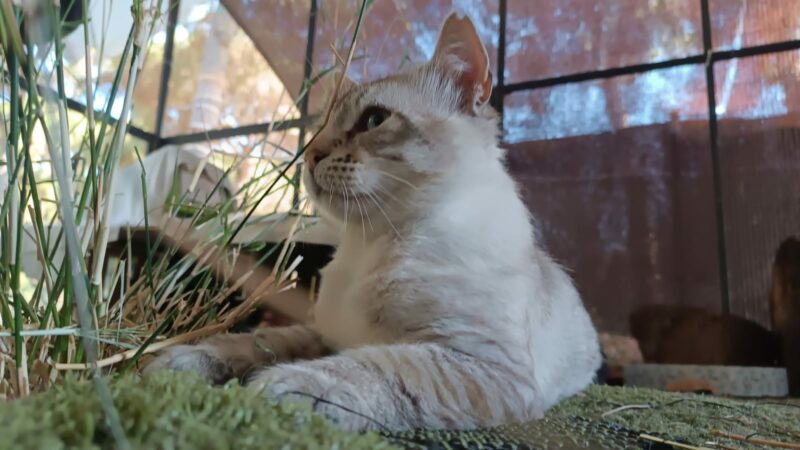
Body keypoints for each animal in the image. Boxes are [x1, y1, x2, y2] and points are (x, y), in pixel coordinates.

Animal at [147, 12, 604, 430]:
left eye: (373, 120)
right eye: (320, 127)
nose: (309, 156)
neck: (372, 244)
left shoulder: (477, 362)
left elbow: (373, 366)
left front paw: (283, 386)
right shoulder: (323, 332)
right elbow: (258, 341)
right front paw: (186, 358)